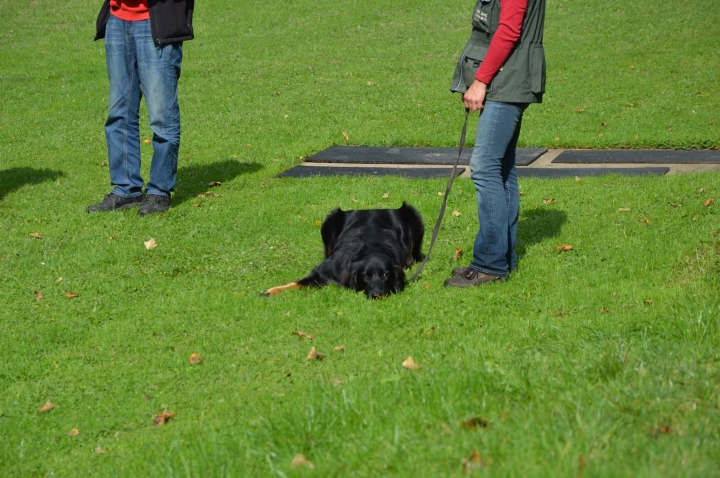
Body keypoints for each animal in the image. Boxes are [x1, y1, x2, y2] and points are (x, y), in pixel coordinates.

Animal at [262, 202, 424, 298]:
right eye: (365, 277)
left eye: (385, 275)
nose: (376, 295)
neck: (370, 248)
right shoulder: (325, 271)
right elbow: (298, 282)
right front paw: (272, 291)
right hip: (330, 220)